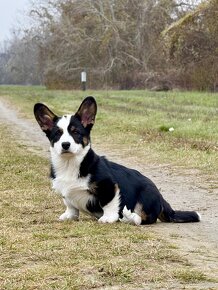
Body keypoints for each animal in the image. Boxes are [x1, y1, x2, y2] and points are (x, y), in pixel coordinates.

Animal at [34, 97, 201, 224]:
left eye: (76, 132)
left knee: (144, 219)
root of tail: (161, 197)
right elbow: (70, 205)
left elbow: (109, 203)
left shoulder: (109, 186)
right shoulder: (66, 193)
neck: (70, 164)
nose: (65, 145)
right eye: (57, 134)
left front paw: (108, 218)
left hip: (145, 197)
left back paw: (130, 217)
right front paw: (69, 216)